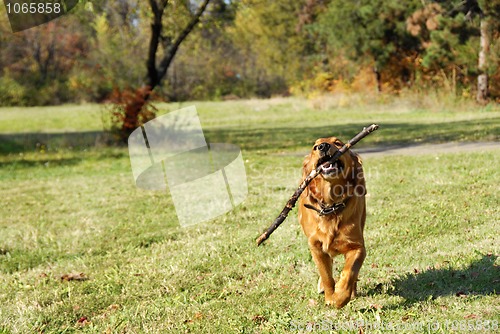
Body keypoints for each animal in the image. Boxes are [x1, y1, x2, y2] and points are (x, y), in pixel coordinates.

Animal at [298, 136, 366, 308]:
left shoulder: (357, 246)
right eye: (314, 146)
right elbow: (326, 275)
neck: (332, 205)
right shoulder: (315, 246)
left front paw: (341, 296)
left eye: (338, 143)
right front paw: (330, 297)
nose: (322, 146)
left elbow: (349, 272)